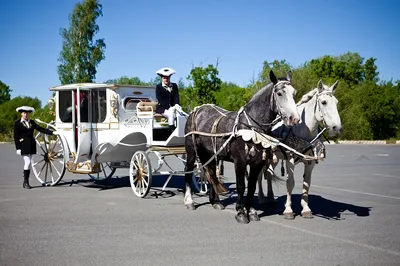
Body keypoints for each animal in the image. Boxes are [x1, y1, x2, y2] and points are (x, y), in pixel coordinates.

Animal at [183, 69, 298, 223]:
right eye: (279, 93)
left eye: (294, 93)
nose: (294, 118)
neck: (251, 127)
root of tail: (197, 110)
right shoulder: (240, 161)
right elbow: (241, 186)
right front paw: (241, 212)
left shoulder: (257, 163)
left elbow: (251, 186)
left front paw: (252, 211)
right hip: (191, 152)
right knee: (188, 172)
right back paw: (189, 201)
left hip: (209, 153)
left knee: (211, 172)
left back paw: (216, 201)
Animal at [260, 80, 340, 219]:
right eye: (324, 102)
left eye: (336, 102)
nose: (337, 128)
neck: (304, 131)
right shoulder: (290, 159)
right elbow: (290, 182)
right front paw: (288, 210)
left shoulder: (310, 162)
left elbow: (306, 183)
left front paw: (306, 209)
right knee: (259, 175)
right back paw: (260, 197)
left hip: (275, 158)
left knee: (269, 172)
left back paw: (270, 198)